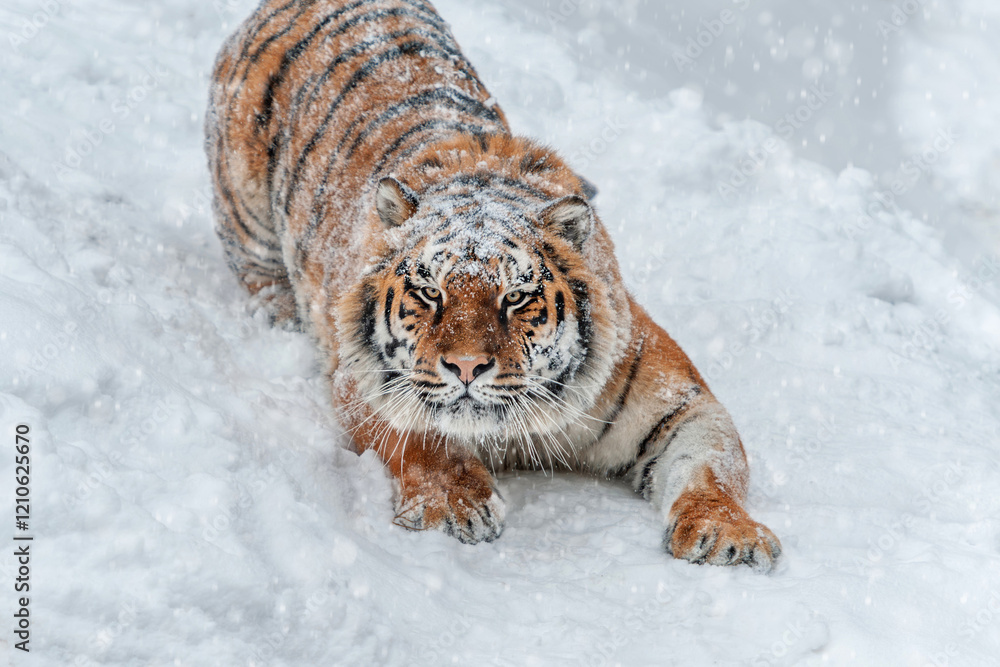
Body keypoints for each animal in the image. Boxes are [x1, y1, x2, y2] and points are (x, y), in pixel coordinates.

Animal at [206, 0, 782, 572]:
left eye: (516, 297)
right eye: (430, 293)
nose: (466, 367)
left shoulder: (678, 400)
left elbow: (711, 465)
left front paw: (726, 533)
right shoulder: (363, 378)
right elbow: (421, 438)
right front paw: (454, 505)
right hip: (246, 208)